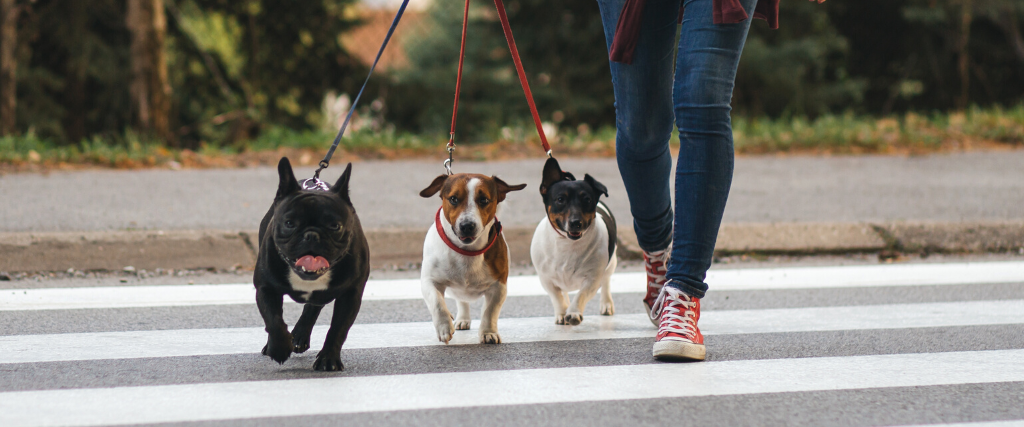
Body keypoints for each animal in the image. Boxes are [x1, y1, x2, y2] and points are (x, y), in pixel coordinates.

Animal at [253, 157, 370, 370]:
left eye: (335, 226)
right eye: (289, 223)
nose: (312, 235)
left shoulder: (351, 295)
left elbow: (338, 328)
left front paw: (328, 359)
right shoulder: (265, 288)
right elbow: (273, 320)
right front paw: (279, 348)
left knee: (313, 306)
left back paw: (299, 336)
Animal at [528, 157, 614, 323]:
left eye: (587, 200)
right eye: (560, 199)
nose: (576, 223)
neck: (567, 243)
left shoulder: (592, 279)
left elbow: (581, 295)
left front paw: (573, 312)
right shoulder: (546, 280)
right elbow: (557, 296)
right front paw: (562, 312)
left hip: (611, 264)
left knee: (606, 281)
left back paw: (606, 304)